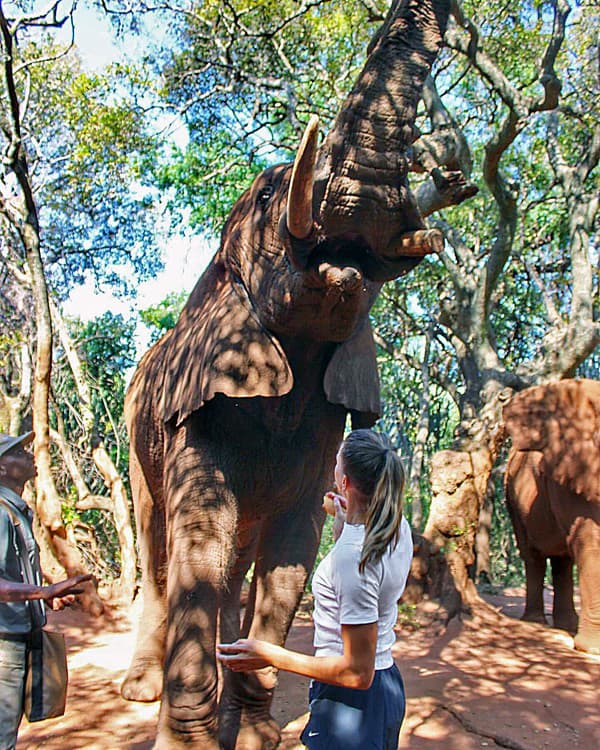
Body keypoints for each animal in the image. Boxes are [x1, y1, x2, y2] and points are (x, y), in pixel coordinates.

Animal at [123, 2, 454, 748]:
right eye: (274, 190)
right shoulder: (202, 398)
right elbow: (200, 533)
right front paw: (189, 739)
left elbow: (294, 547)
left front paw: (250, 733)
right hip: (134, 433)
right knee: (157, 537)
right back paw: (138, 688)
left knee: (237, 556)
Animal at [502, 378, 600, 656]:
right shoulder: (573, 474)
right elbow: (592, 544)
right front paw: (593, 649)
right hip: (512, 497)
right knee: (534, 555)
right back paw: (536, 622)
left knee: (562, 558)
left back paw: (567, 625)